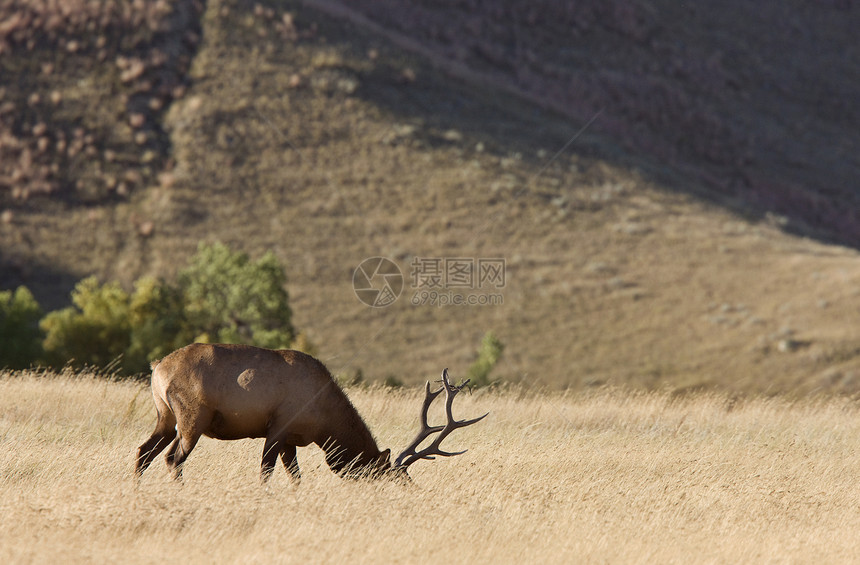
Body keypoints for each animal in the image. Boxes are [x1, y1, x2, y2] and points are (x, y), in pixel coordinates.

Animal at [134, 340, 484, 480]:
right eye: (389, 475)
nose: (411, 489)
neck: (324, 423)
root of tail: (156, 368)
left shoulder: (290, 440)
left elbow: (295, 476)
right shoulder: (278, 427)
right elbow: (266, 472)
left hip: (164, 416)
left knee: (143, 452)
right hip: (191, 418)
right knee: (172, 459)